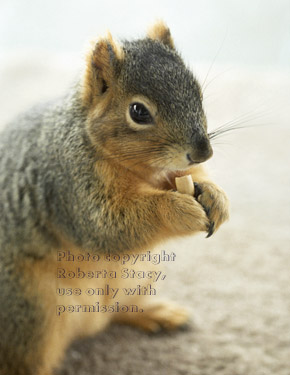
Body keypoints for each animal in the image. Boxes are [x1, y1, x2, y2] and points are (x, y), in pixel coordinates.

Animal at [0, 21, 229, 375]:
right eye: (138, 112)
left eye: (198, 94)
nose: (203, 152)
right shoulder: (68, 186)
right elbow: (106, 226)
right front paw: (177, 210)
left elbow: (192, 178)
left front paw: (216, 197)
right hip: (29, 315)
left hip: (137, 276)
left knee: (117, 311)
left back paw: (156, 313)